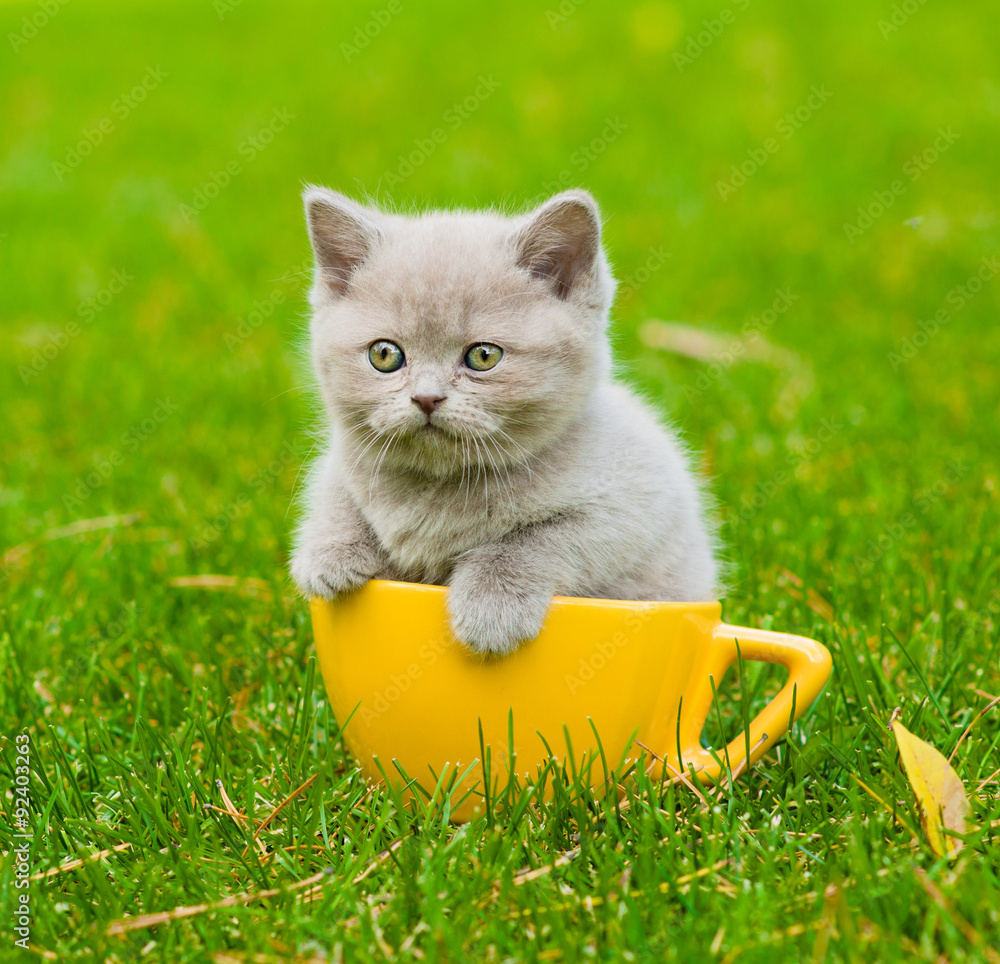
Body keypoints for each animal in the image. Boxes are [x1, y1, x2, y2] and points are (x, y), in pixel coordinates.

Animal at [290, 186, 720, 656]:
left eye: (484, 356)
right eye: (384, 355)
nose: (426, 398)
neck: (439, 486)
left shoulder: (635, 502)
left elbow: (536, 538)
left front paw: (491, 607)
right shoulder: (344, 462)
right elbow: (337, 497)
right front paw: (329, 554)